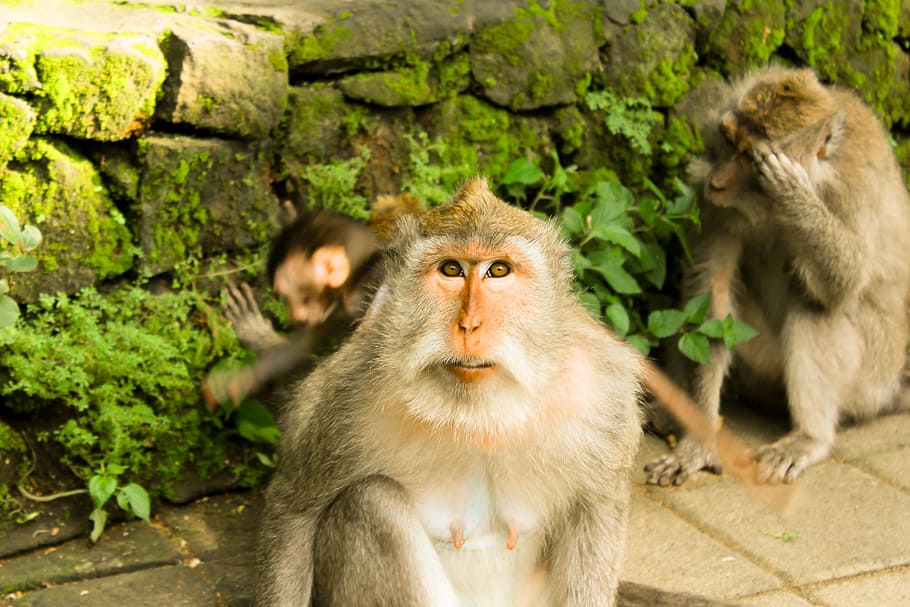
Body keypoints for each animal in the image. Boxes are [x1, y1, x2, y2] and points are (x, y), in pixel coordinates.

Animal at [255, 178, 741, 607]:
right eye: (451, 269)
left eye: (499, 270)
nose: (469, 325)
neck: (481, 411)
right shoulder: (349, 394)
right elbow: (294, 509)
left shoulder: (605, 397)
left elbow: (597, 510)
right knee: (369, 502)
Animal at [645, 66, 910, 487]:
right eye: (728, 140)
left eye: (749, 156)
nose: (716, 181)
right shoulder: (717, 204)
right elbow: (711, 299)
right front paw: (698, 442)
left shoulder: (854, 186)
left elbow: (845, 282)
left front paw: (794, 196)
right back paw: (674, 412)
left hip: (868, 382)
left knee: (813, 306)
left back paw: (809, 438)